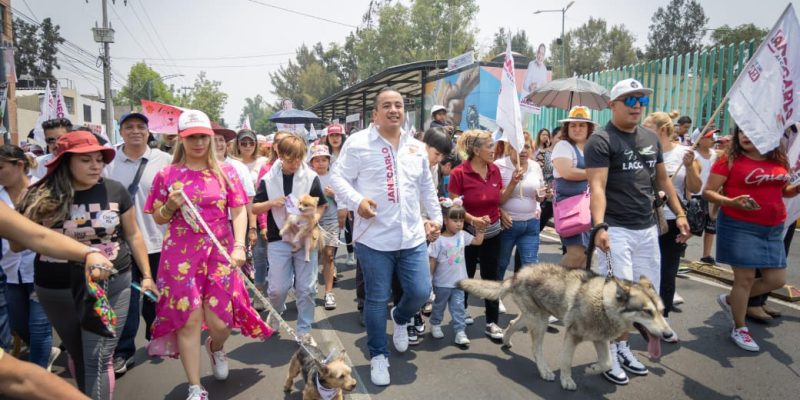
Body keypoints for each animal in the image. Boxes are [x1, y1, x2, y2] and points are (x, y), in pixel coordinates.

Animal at [456, 225, 676, 390]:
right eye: (647, 312)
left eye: (661, 311)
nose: (668, 334)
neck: (603, 304)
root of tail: (518, 274)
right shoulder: (572, 336)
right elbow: (566, 361)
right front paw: (567, 380)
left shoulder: (600, 339)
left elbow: (605, 362)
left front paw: (592, 369)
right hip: (539, 322)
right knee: (535, 348)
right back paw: (544, 371)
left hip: (535, 317)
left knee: (512, 323)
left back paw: (506, 341)